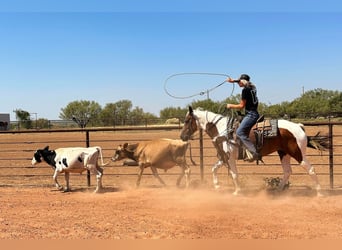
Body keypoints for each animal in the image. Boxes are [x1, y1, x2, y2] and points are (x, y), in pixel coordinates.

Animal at [180, 105, 330, 195]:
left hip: (298, 153)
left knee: (310, 169)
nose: (182, 136)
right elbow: (214, 169)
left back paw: (319, 193)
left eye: (187, 120)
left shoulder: (229, 157)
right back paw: (278, 190)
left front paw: (237, 191)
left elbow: (234, 174)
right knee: (287, 171)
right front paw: (217, 186)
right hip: (283, 153)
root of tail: (299, 126)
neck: (222, 128)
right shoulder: (223, 157)